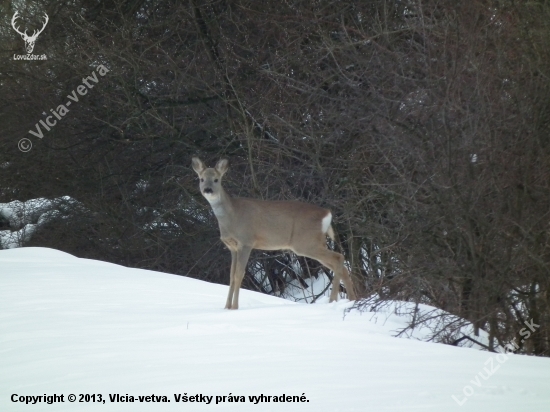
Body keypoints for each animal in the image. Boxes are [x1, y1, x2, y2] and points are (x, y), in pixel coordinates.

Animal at [193, 158, 358, 308]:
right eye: (202, 179)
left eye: (216, 179)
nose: (208, 190)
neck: (232, 216)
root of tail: (327, 214)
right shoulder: (232, 247)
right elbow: (231, 276)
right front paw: (226, 307)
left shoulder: (246, 242)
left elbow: (239, 274)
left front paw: (234, 307)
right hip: (316, 243)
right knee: (341, 265)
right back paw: (351, 300)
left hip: (306, 242)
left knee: (339, 257)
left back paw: (333, 300)